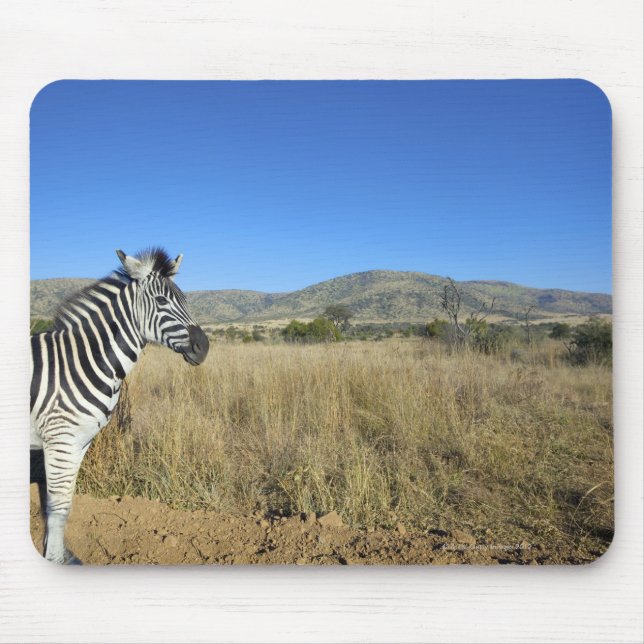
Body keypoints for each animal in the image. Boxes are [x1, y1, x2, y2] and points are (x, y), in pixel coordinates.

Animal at [30, 248, 209, 564]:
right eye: (162, 301)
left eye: (185, 300)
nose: (204, 346)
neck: (80, 360)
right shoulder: (60, 440)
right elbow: (56, 507)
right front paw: (54, 560)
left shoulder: (79, 442)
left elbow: (64, 504)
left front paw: (62, 555)